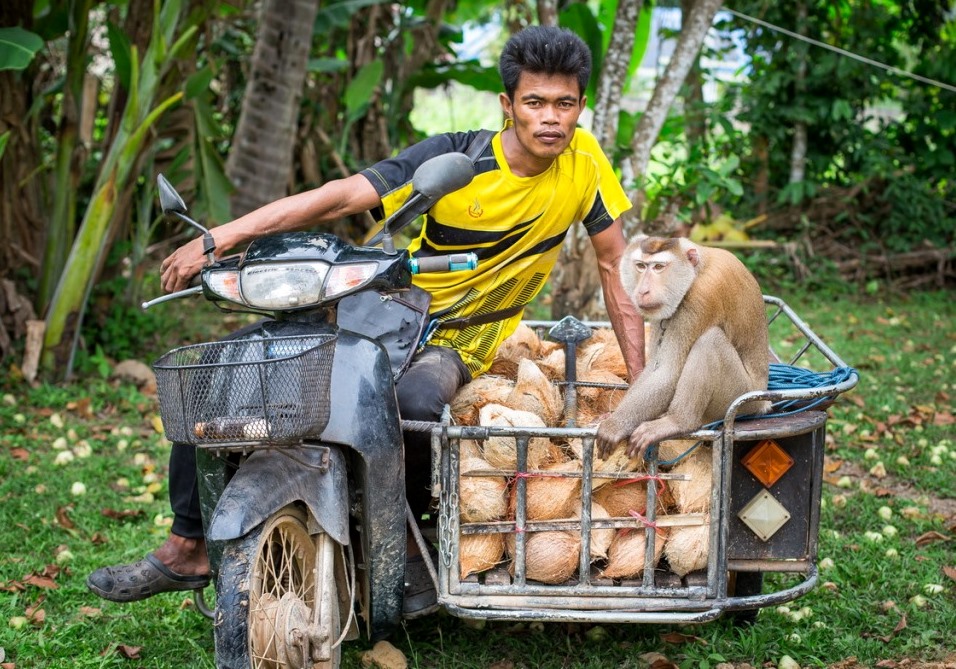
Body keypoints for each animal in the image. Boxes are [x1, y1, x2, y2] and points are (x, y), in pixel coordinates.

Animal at [592, 234, 772, 460]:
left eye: (659, 267)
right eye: (641, 266)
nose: (643, 291)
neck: (698, 269)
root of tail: (762, 402)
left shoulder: (701, 297)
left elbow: (669, 373)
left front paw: (615, 425)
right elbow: (655, 367)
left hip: (741, 398)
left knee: (709, 341)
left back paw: (679, 422)